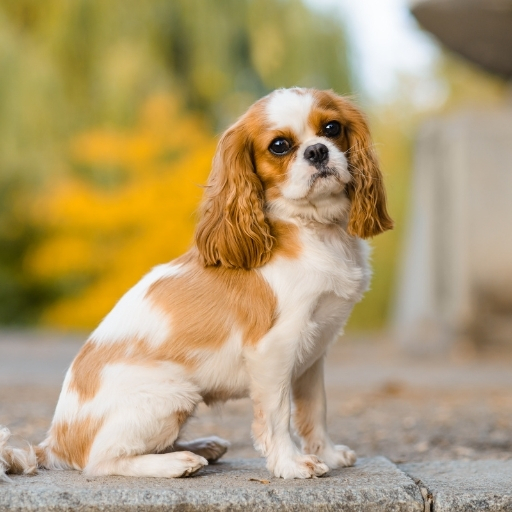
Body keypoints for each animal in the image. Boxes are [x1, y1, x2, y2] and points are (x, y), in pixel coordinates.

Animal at [0, 88, 392, 480]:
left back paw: (202, 446)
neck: (312, 229)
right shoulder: (274, 349)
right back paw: (177, 462)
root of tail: (55, 443)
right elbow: (278, 415)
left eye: (331, 128)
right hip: (172, 395)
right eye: (279, 146)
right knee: (102, 461)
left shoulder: (312, 355)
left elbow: (315, 410)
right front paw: (291, 464)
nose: (317, 151)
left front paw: (327, 453)